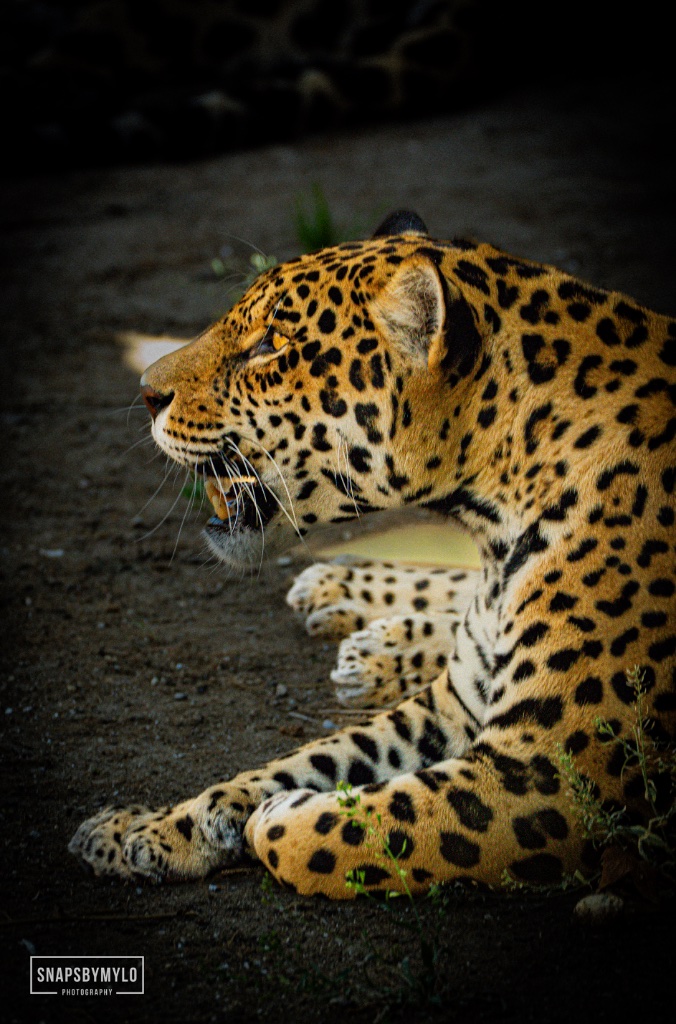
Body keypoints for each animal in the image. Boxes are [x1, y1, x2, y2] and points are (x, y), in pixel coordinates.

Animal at [70, 209, 676, 898]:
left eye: (272, 345)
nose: (146, 392)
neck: (494, 518)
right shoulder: (448, 706)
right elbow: (298, 761)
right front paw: (149, 829)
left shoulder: (554, 776)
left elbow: (343, 831)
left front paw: (283, 815)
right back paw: (353, 608)